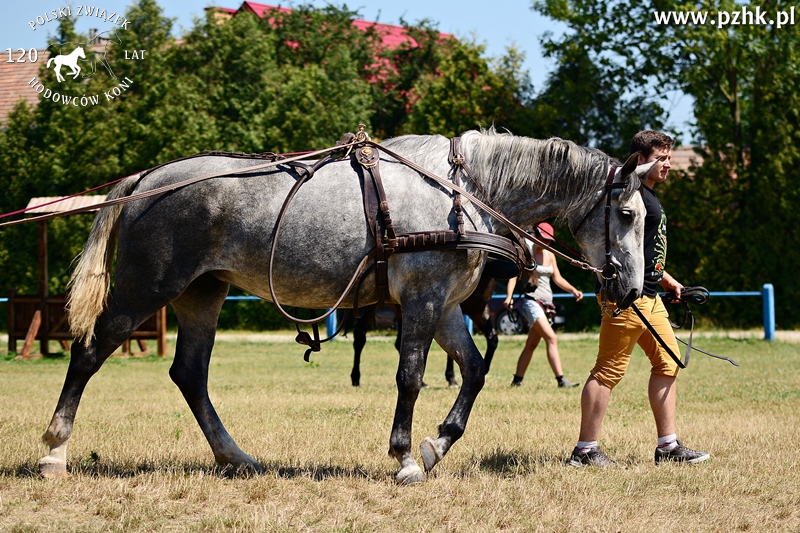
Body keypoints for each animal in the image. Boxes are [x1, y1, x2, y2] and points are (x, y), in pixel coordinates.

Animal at [37, 128, 652, 482]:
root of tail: (148, 178)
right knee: (89, 352)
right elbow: (411, 376)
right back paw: (53, 452)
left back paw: (236, 458)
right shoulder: (422, 299)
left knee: (190, 373)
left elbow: (474, 371)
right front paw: (406, 459)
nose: (630, 289)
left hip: (202, 294)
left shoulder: (446, 306)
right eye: (627, 214)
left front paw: (436, 445)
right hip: (147, 287)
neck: (462, 191)